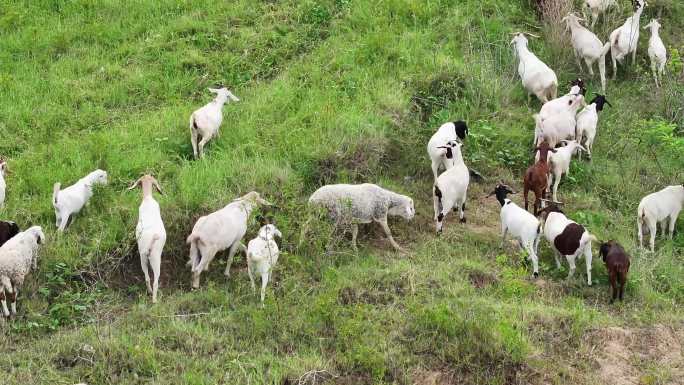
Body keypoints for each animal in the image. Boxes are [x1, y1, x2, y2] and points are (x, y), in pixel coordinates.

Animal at [128, 175, 166, 304]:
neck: (148, 199)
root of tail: (150, 242)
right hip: (155, 259)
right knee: (155, 281)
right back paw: (155, 300)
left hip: (143, 257)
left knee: (147, 278)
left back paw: (149, 292)